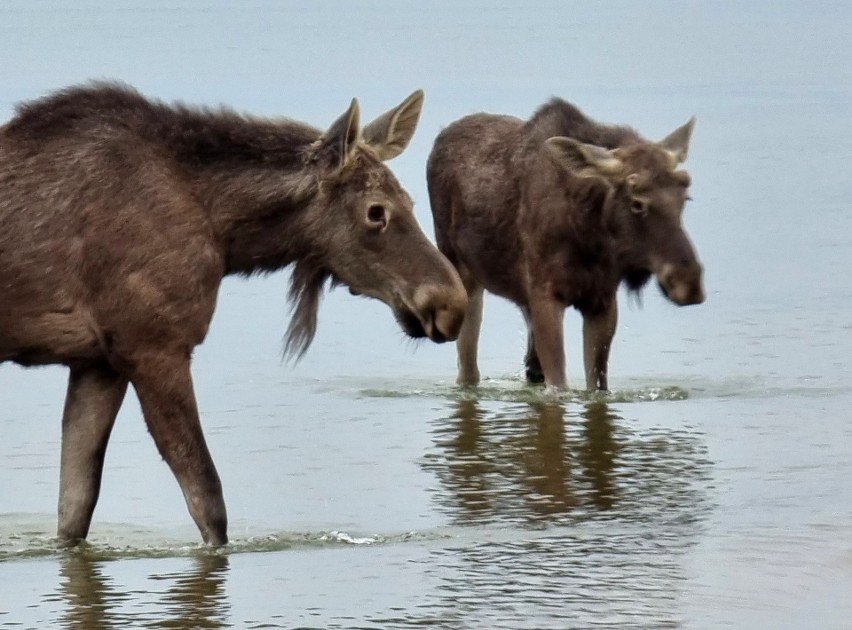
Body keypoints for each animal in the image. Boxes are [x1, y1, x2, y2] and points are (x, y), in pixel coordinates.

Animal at [0, 82, 466, 548]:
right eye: (376, 211)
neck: (226, 235)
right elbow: (207, 497)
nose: (452, 303)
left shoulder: (98, 361)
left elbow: (75, 507)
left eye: (411, 201)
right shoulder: (155, 346)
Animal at [430, 99, 704, 392]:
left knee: (530, 362)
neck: (589, 237)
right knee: (468, 367)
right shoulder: (546, 295)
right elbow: (559, 384)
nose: (688, 281)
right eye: (636, 201)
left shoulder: (602, 300)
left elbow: (596, 385)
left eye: (685, 195)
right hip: (462, 274)